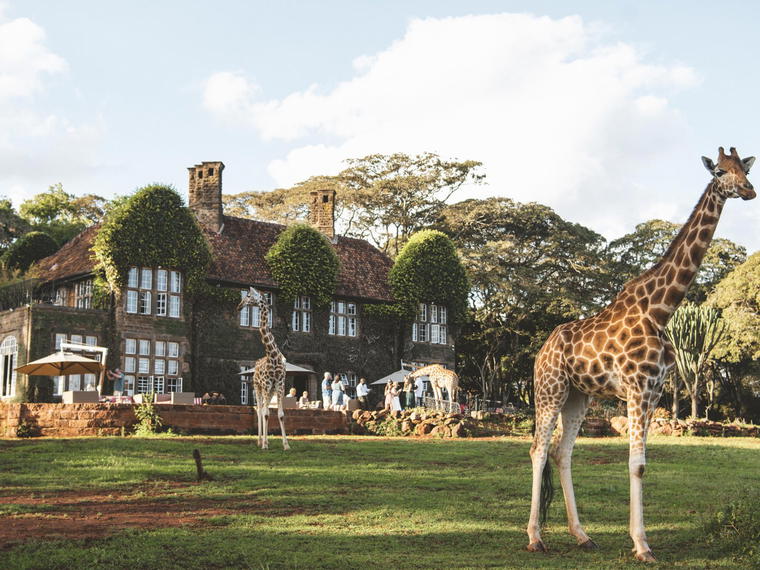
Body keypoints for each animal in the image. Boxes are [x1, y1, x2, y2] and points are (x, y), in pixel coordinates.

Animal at [237, 287, 290, 450]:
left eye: (248, 296)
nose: (239, 306)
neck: (272, 355)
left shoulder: (279, 384)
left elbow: (280, 414)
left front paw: (286, 445)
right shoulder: (266, 384)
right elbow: (265, 413)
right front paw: (265, 444)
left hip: (270, 390)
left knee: (263, 409)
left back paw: (265, 441)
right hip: (258, 387)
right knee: (260, 410)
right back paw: (260, 441)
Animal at [526, 147, 755, 562]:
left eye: (744, 169)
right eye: (719, 171)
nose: (748, 191)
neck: (662, 309)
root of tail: (543, 349)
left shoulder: (654, 391)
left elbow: (642, 464)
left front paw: (640, 541)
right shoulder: (636, 389)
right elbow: (636, 465)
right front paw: (642, 545)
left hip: (579, 396)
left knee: (562, 453)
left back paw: (582, 535)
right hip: (549, 389)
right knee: (538, 449)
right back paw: (535, 537)